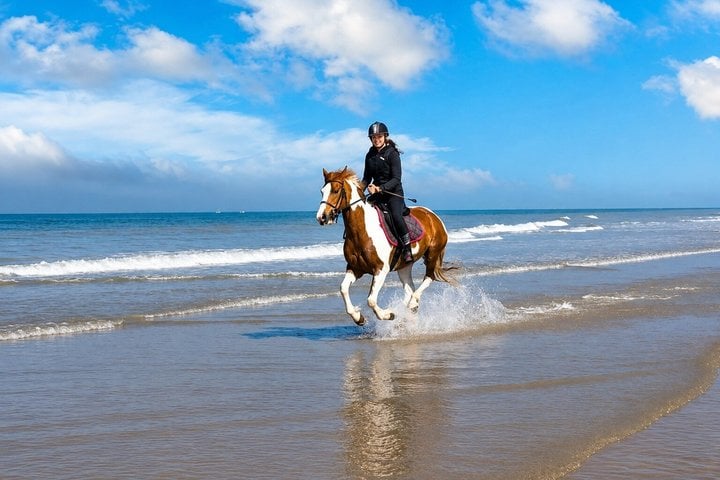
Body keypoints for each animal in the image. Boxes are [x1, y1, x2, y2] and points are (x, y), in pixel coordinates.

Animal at [316, 166, 456, 326]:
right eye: (322, 191)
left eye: (336, 190)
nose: (321, 217)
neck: (361, 230)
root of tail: (433, 216)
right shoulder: (355, 268)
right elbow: (343, 289)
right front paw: (358, 317)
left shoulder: (380, 269)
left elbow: (371, 300)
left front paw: (388, 314)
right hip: (404, 265)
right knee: (409, 288)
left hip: (433, 254)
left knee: (429, 277)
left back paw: (412, 303)